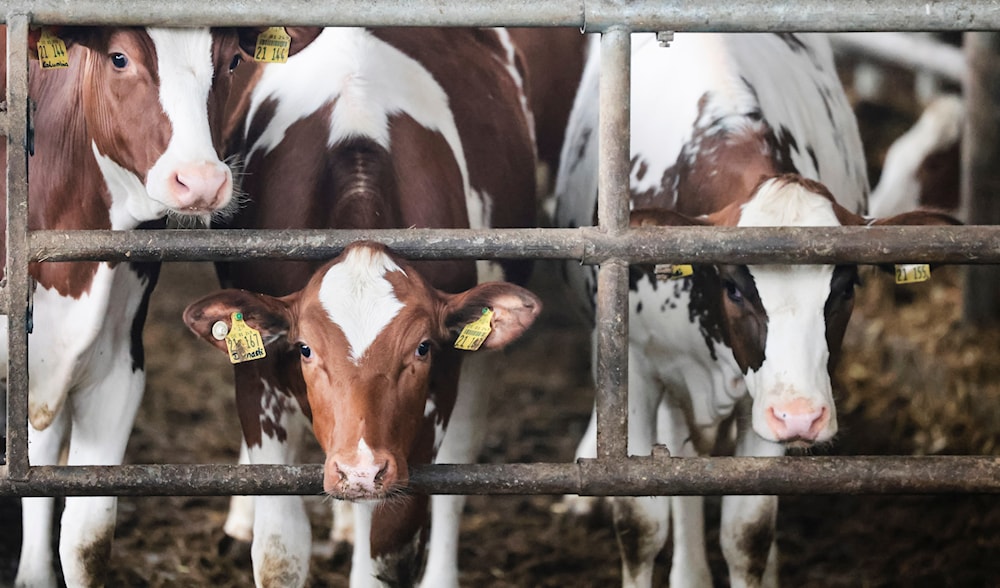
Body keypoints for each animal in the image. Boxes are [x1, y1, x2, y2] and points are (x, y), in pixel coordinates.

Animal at [180, 27, 542, 587]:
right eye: (305, 348)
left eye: (422, 348)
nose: (360, 470)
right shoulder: (258, 378)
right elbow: (279, 548)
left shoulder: (430, 406)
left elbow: (389, 547)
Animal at [554, 33, 960, 587]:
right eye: (734, 287)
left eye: (846, 288)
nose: (801, 417)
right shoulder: (636, 365)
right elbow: (640, 524)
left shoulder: (761, 398)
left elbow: (748, 532)